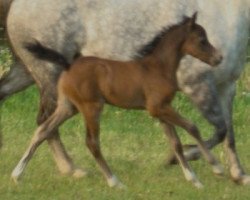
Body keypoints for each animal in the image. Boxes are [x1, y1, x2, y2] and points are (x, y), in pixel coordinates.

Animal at [12, 13, 222, 188]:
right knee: (91, 142)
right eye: (202, 40)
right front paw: (215, 166)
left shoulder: (161, 111)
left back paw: (17, 174)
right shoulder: (157, 107)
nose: (218, 58)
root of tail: (68, 64)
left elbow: (176, 143)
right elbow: (192, 127)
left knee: (43, 130)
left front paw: (194, 180)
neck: (158, 67)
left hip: (68, 107)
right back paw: (115, 182)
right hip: (92, 107)